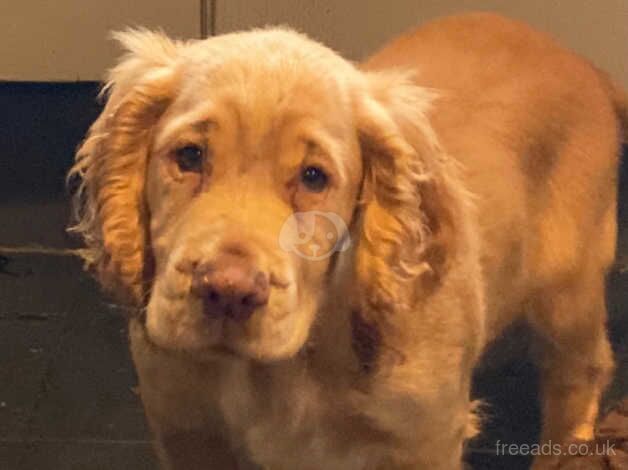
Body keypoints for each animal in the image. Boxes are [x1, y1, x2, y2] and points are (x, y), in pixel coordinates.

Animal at [68, 11, 624, 470]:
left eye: (314, 178)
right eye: (189, 156)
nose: (227, 291)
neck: (278, 374)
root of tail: (587, 66)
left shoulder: (425, 438)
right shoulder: (186, 429)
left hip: (566, 290)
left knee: (581, 373)